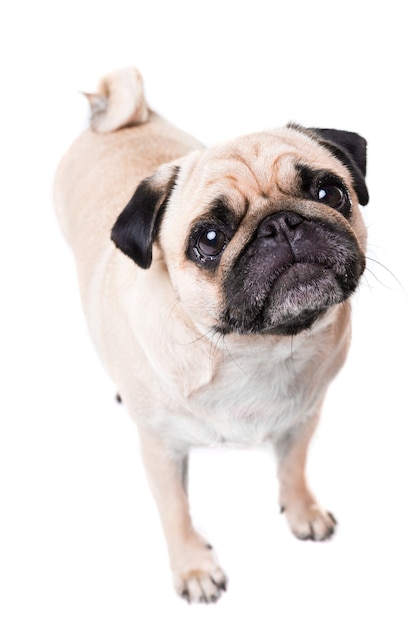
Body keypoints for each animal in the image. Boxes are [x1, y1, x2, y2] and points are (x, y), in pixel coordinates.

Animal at [54, 67, 368, 600]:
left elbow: (293, 468)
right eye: (210, 239)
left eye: (330, 194)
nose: (281, 224)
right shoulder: (161, 450)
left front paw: (301, 511)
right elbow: (175, 511)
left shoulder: (303, 418)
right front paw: (194, 568)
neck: (254, 349)